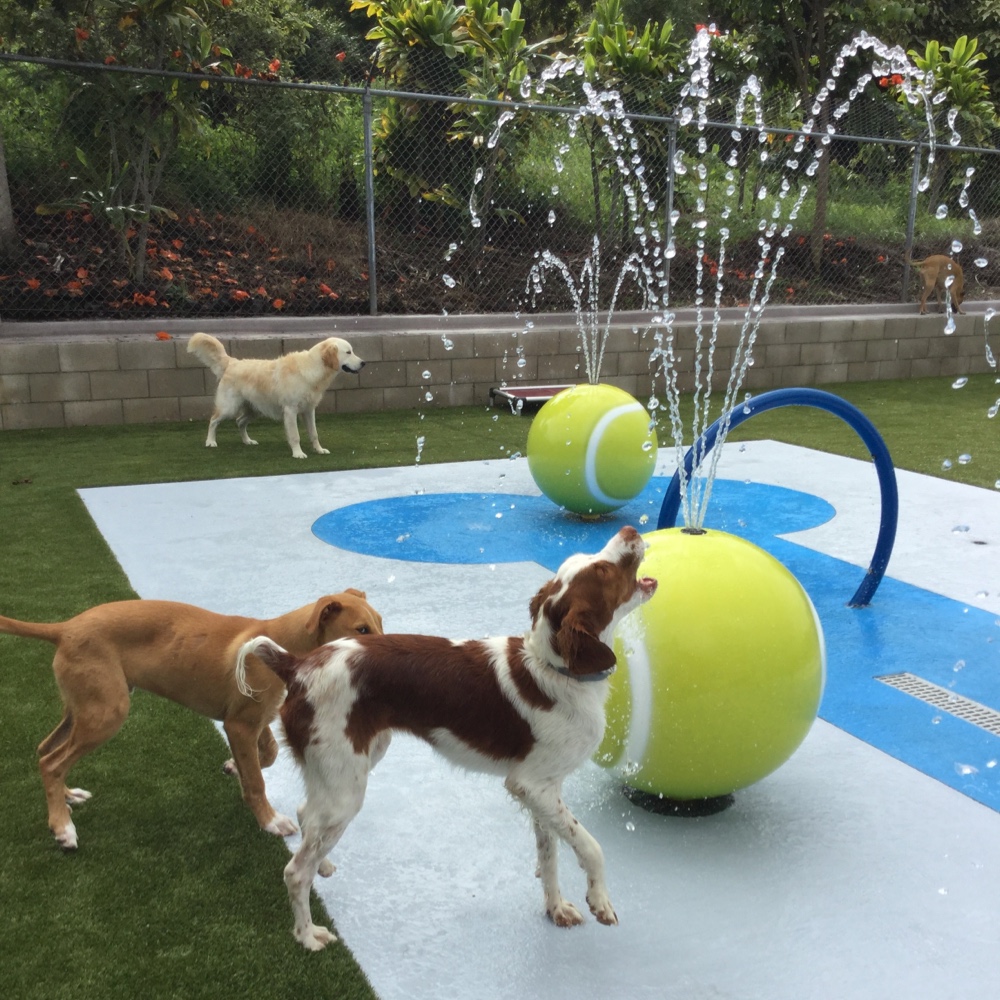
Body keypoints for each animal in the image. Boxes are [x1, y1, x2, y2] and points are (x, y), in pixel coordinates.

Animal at [0, 588, 382, 848]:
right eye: (361, 629)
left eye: (379, 624)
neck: (284, 644)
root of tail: (64, 628)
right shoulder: (239, 725)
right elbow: (257, 780)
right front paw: (270, 821)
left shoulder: (254, 719)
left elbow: (268, 755)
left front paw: (233, 767)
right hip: (106, 712)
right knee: (53, 761)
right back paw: (62, 828)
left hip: (83, 706)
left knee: (46, 751)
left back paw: (67, 796)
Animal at [186, 336, 366, 460]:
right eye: (348, 352)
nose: (364, 363)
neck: (312, 368)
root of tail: (233, 362)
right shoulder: (291, 411)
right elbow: (295, 435)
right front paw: (298, 453)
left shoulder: (309, 410)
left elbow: (314, 433)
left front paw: (319, 450)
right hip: (228, 408)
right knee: (213, 420)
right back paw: (210, 442)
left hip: (255, 410)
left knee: (240, 422)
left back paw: (247, 441)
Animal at [236, 528, 656, 948]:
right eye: (603, 570)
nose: (631, 531)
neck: (555, 668)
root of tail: (297, 665)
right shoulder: (529, 784)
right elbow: (590, 845)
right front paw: (600, 901)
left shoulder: (544, 788)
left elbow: (549, 852)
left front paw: (556, 908)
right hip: (345, 789)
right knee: (295, 870)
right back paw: (308, 935)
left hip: (352, 763)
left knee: (307, 815)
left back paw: (322, 864)